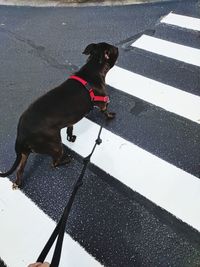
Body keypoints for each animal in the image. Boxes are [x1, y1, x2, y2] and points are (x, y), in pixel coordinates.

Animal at [0, 42, 119, 188]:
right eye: (115, 50)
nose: (118, 49)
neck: (93, 67)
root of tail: (21, 135)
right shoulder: (103, 103)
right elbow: (106, 111)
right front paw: (110, 116)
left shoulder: (72, 119)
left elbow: (70, 127)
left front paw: (71, 136)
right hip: (55, 144)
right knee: (54, 163)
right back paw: (66, 160)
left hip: (25, 153)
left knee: (20, 170)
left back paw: (18, 183)